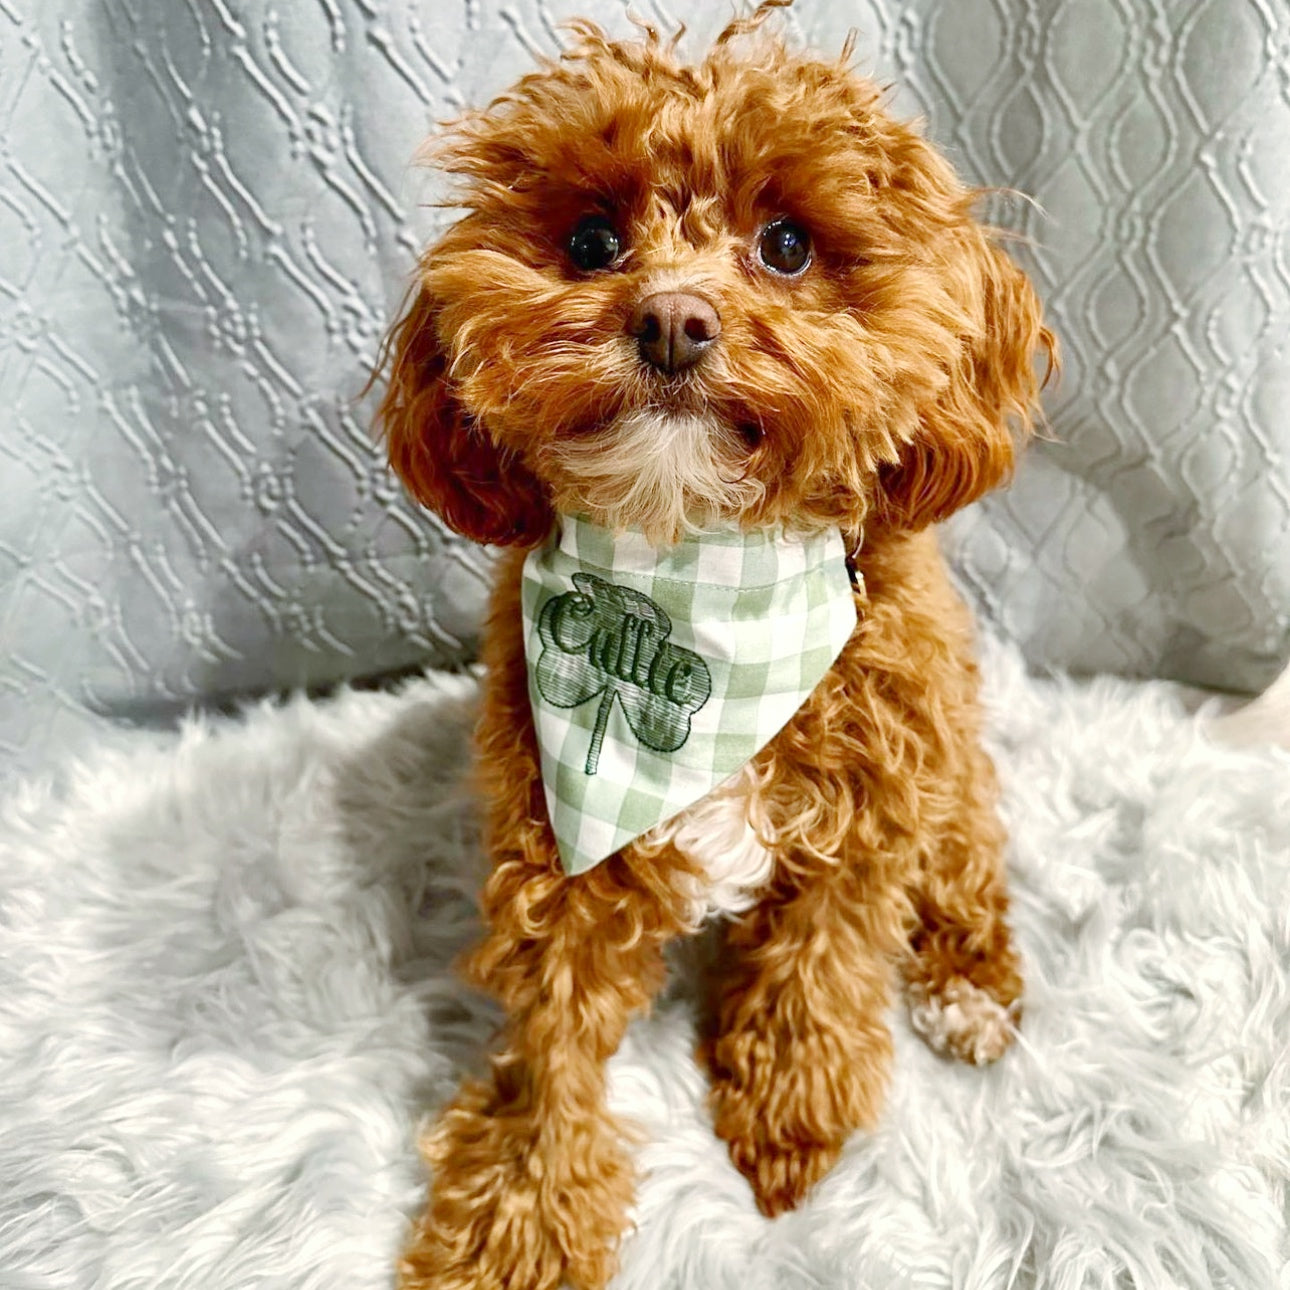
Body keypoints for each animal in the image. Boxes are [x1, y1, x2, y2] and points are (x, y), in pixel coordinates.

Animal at [374, 5, 1047, 1284]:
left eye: (786, 244)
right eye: (591, 239)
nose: (673, 320)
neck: (694, 579)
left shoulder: (864, 826)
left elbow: (817, 972)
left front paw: (790, 1113)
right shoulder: (555, 852)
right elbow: (552, 1047)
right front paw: (520, 1213)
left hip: (950, 774)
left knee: (968, 872)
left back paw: (968, 987)